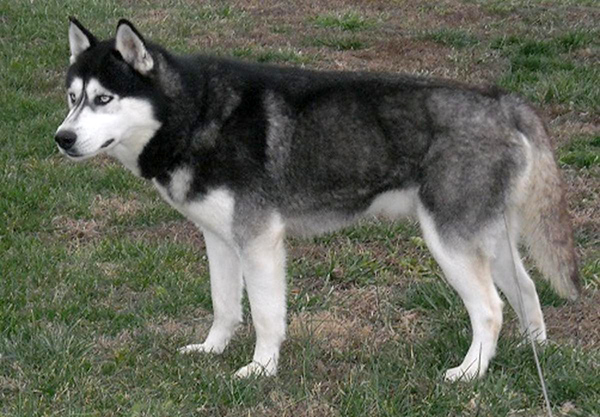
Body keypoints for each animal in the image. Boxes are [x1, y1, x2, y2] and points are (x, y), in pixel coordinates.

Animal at [54, 17, 580, 380]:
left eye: (104, 99)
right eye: (72, 97)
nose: (62, 138)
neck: (197, 113)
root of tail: (503, 101)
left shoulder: (260, 241)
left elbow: (266, 315)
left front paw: (261, 370)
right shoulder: (219, 239)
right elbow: (225, 306)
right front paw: (212, 350)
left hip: (448, 241)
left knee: (490, 309)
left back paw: (470, 373)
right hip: (488, 237)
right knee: (526, 288)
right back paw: (533, 351)